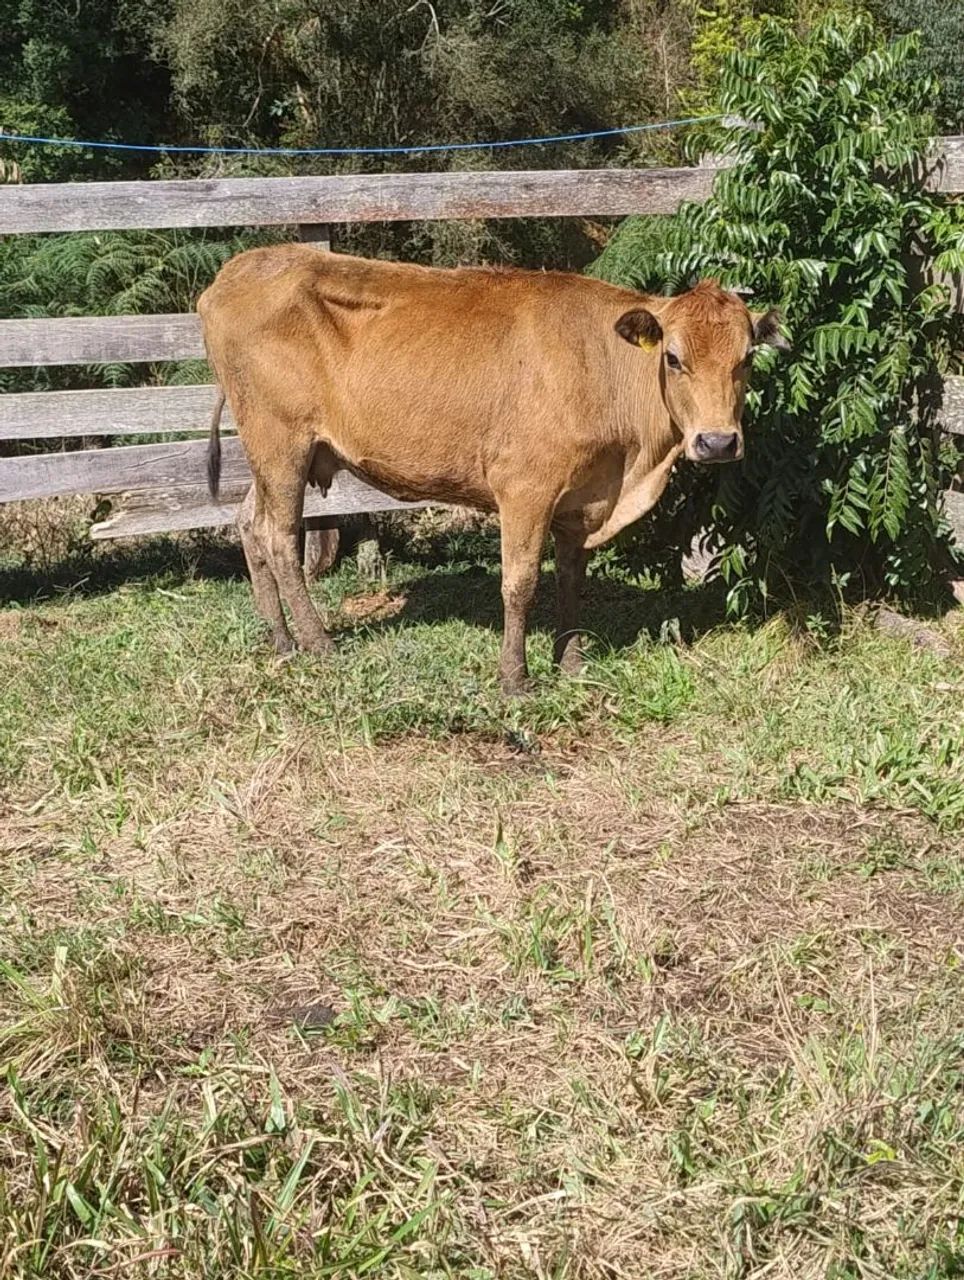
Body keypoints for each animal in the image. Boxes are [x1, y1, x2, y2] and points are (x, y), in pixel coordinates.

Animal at [199, 246, 788, 693]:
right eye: (672, 357)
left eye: (746, 359)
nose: (717, 441)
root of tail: (238, 270)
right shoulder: (525, 486)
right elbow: (520, 582)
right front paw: (515, 678)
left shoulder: (581, 497)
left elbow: (571, 579)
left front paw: (571, 661)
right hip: (281, 442)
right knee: (279, 536)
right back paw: (317, 643)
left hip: (272, 452)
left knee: (249, 523)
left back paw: (280, 639)